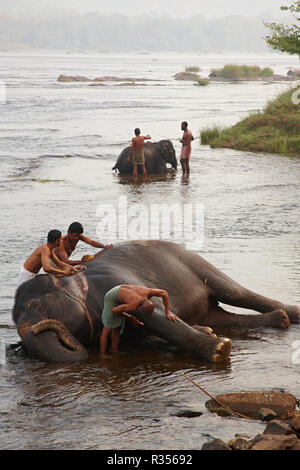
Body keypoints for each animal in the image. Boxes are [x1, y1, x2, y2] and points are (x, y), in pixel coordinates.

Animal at [11, 241, 300, 366]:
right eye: (13, 320)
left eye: (37, 307)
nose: (17, 348)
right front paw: (210, 335)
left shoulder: (115, 284)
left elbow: (151, 310)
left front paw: (220, 349)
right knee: (221, 316)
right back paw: (278, 319)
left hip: (196, 263)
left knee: (236, 292)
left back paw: (290, 315)